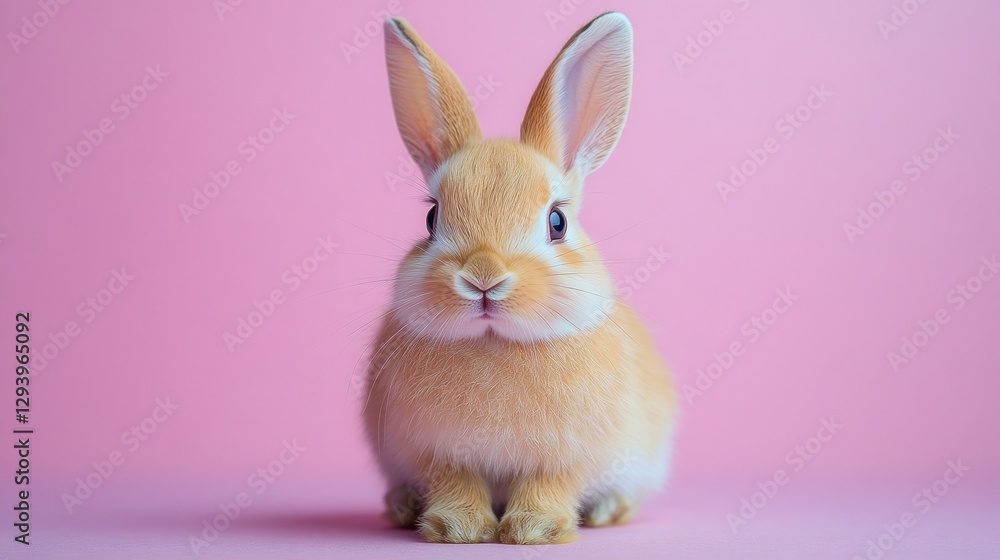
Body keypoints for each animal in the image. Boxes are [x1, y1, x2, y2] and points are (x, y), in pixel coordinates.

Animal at [363, 12, 677, 545]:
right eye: (431, 219)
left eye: (557, 222)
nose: (483, 277)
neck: (494, 342)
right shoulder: (436, 452)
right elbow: (455, 483)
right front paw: (457, 528)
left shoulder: (566, 458)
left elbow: (548, 485)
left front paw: (534, 530)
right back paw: (402, 507)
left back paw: (606, 511)